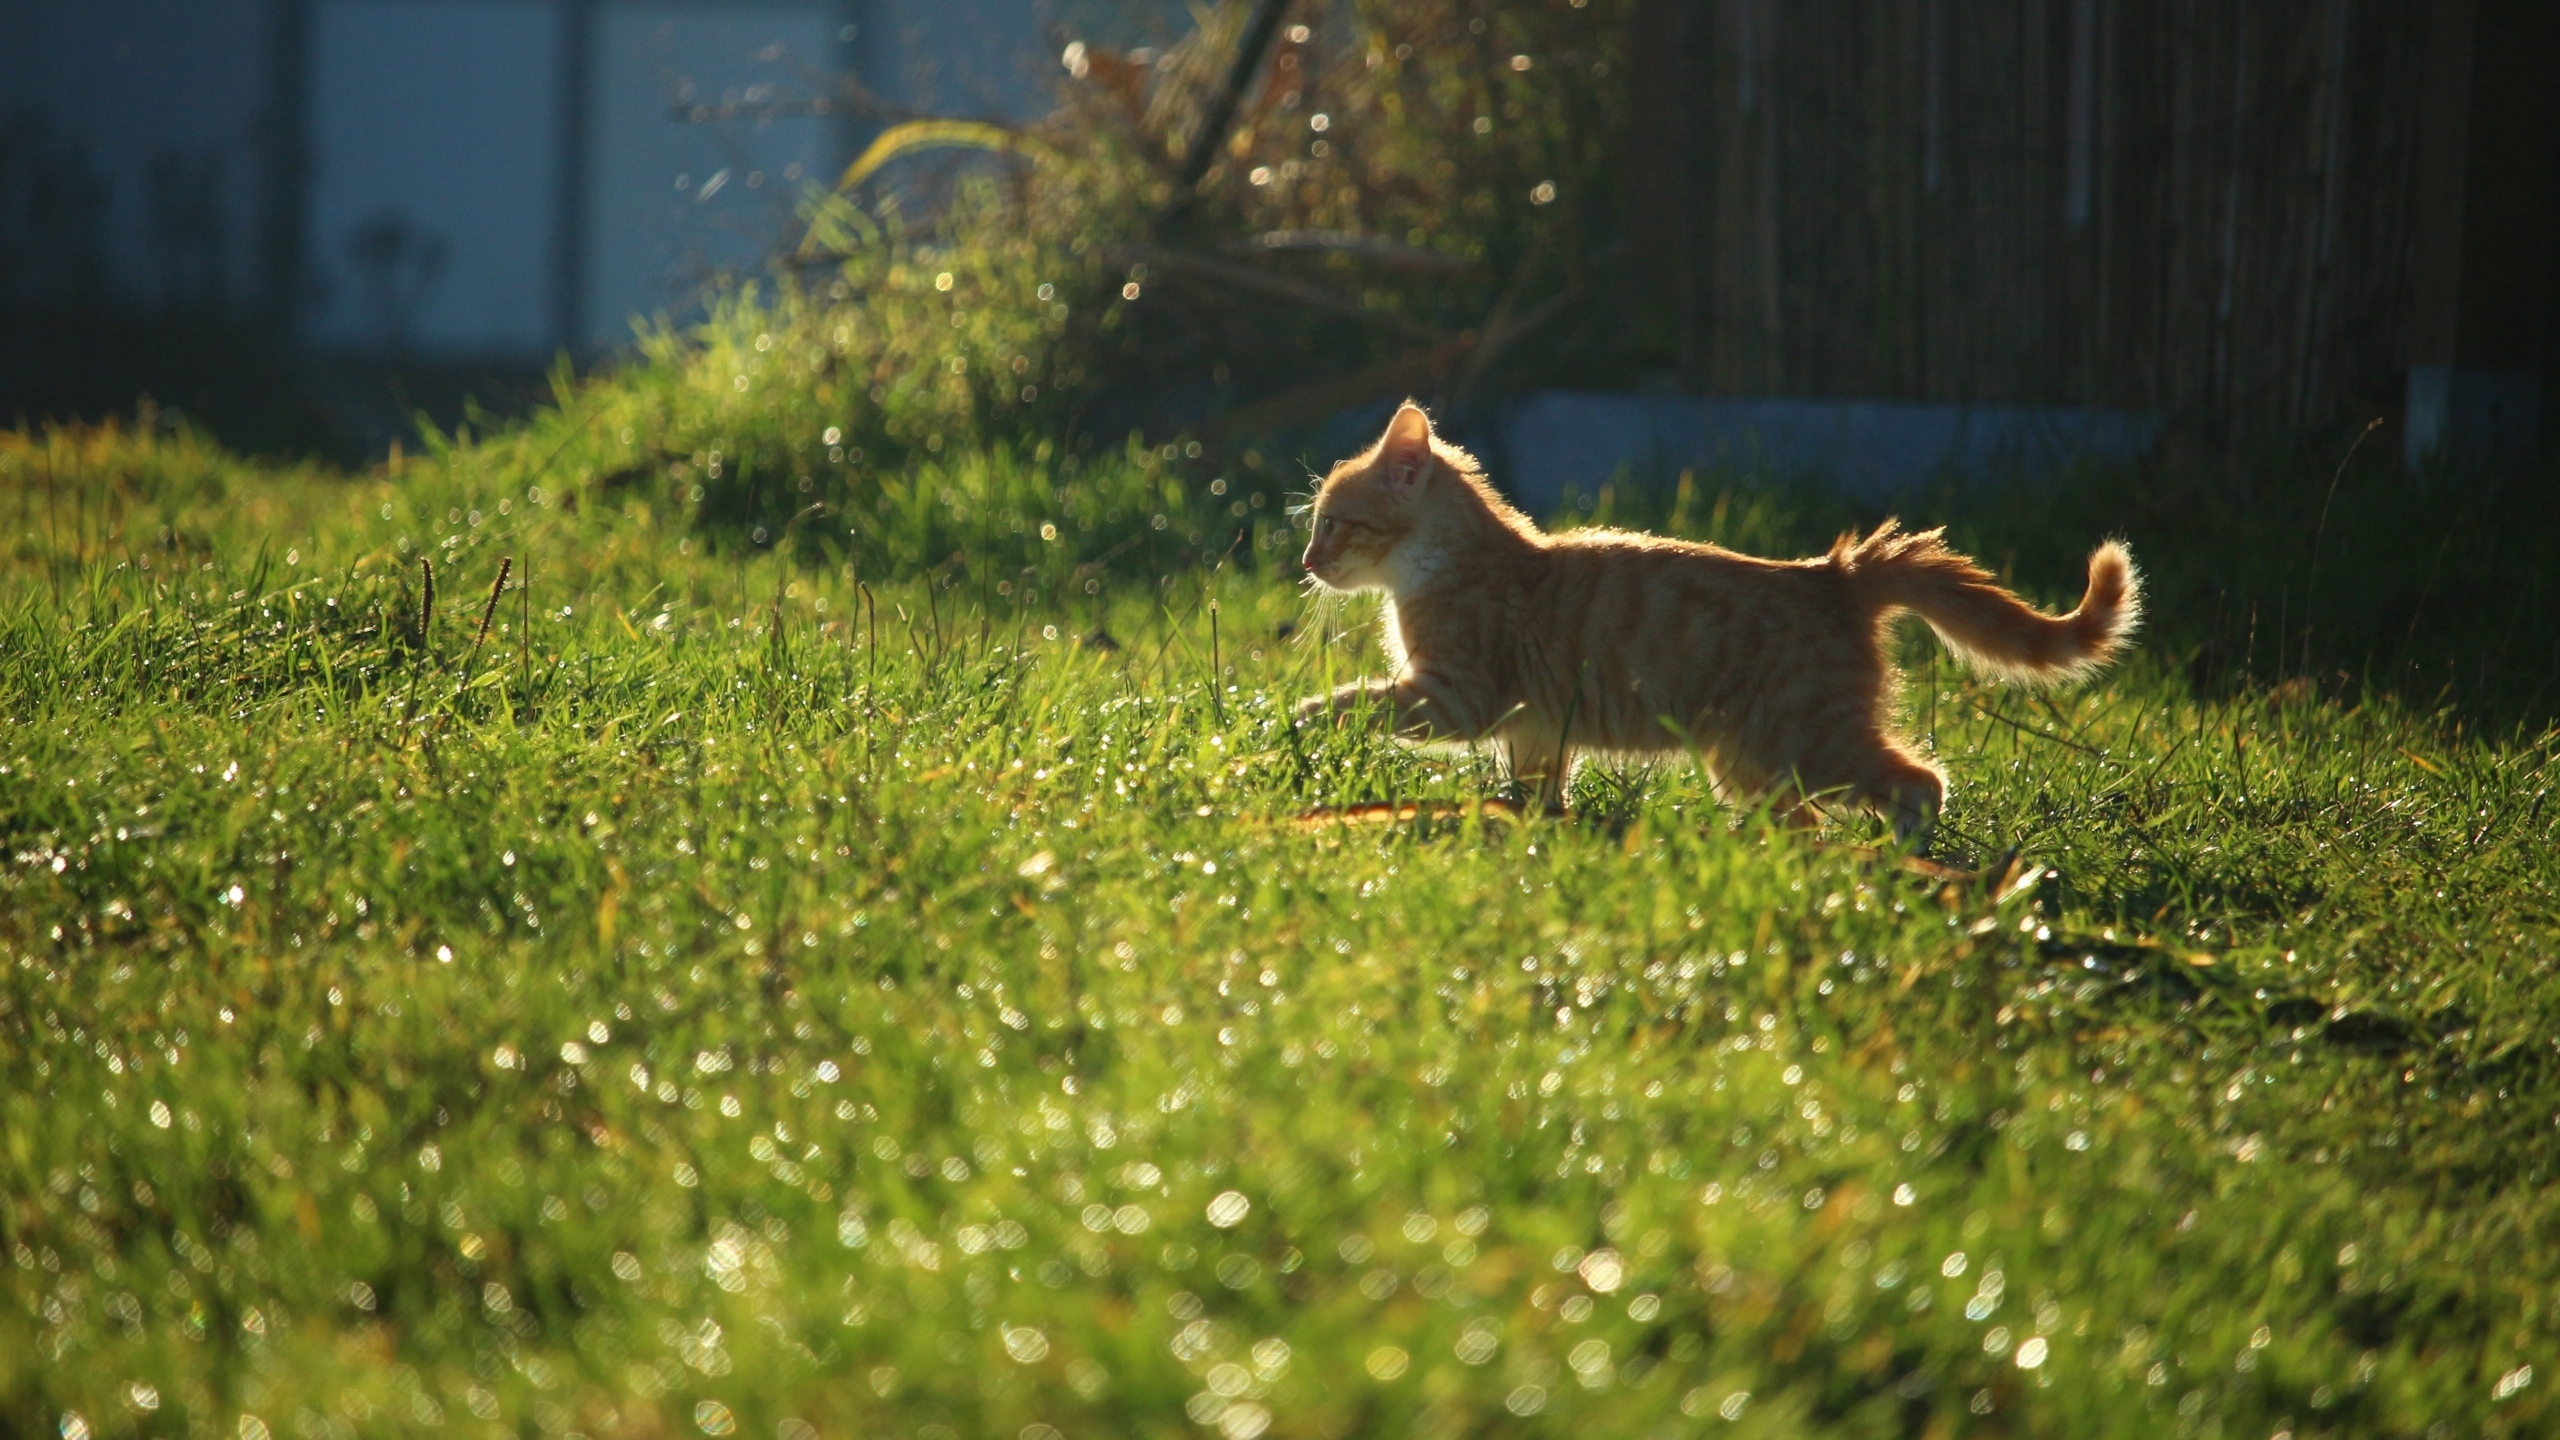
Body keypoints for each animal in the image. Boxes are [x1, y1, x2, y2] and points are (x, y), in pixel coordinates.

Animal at [1300, 397, 2140, 835]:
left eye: (1331, 523)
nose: (1305, 563)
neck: (1446, 562)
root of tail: (1833, 575)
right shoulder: (1534, 729)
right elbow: (1537, 792)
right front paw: (1535, 831)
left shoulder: (1457, 695)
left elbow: (1353, 704)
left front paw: (1293, 719)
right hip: (1752, 764)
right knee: (1810, 820)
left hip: (1810, 742)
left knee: (1920, 782)